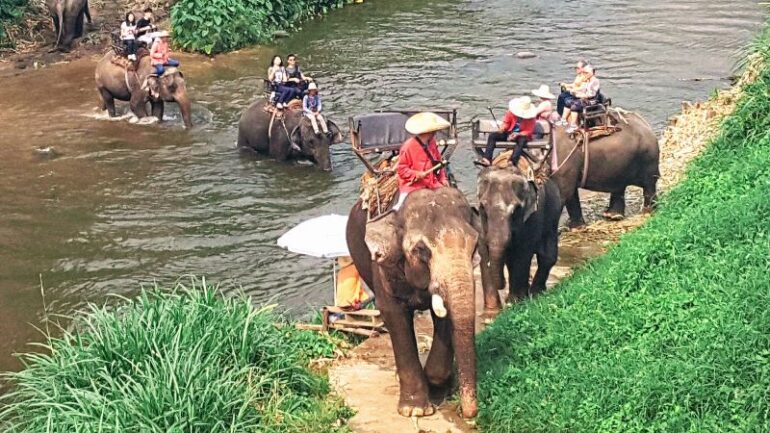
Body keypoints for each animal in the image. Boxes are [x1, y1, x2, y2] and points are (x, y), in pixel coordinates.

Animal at [344, 186, 476, 418]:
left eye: (475, 245)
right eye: (421, 249)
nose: (468, 413)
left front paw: (436, 384)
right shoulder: (382, 266)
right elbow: (392, 313)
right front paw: (415, 410)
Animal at [474, 166, 560, 314]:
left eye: (515, 211)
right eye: (483, 208)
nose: (502, 285)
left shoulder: (533, 217)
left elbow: (522, 253)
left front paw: (516, 302)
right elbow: (492, 253)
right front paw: (501, 307)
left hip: (553, 214)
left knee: (547, 255)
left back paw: (536, 293)